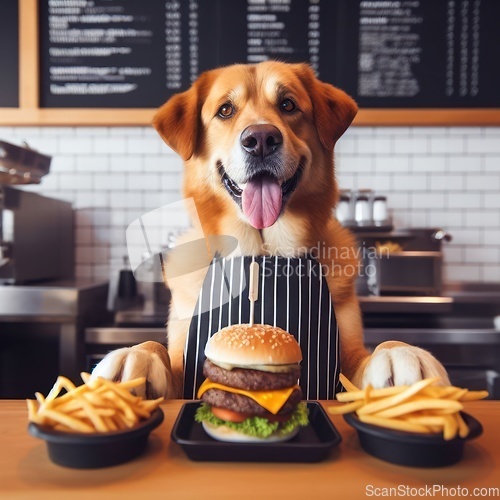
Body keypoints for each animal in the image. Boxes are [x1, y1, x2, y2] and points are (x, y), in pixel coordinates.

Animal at [91, 62, 450, 398]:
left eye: (288, 104)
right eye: (225, 110)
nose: (260, 139)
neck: (262, 252)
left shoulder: (345, 357)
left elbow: (375, 351)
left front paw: (401, 353)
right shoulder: (184, 358)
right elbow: (159, 350)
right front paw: (134, 356)